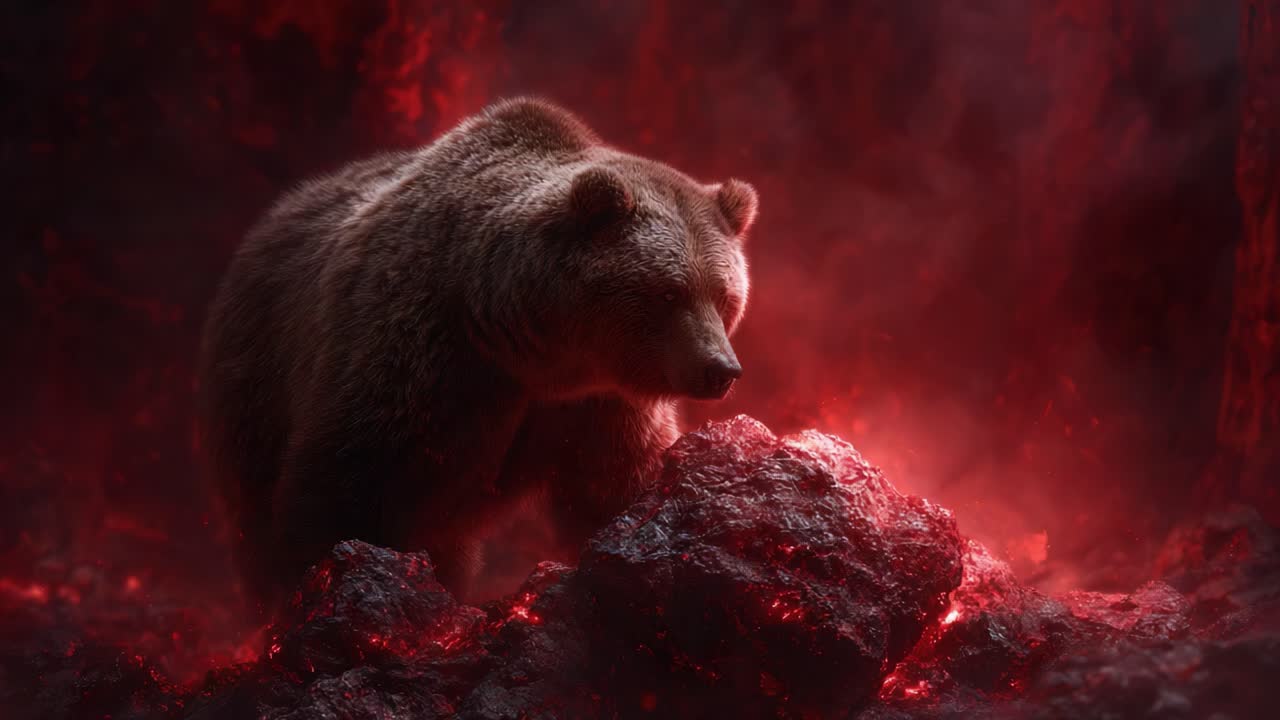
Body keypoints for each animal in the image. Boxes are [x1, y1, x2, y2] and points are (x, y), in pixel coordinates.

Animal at [198, 97, 758, 609]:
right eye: (668, 293)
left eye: (724, 295)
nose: (720, 369)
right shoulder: (418, 361)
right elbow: (344, 489)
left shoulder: (599, 406)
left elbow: (617, 486)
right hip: (256, 376)